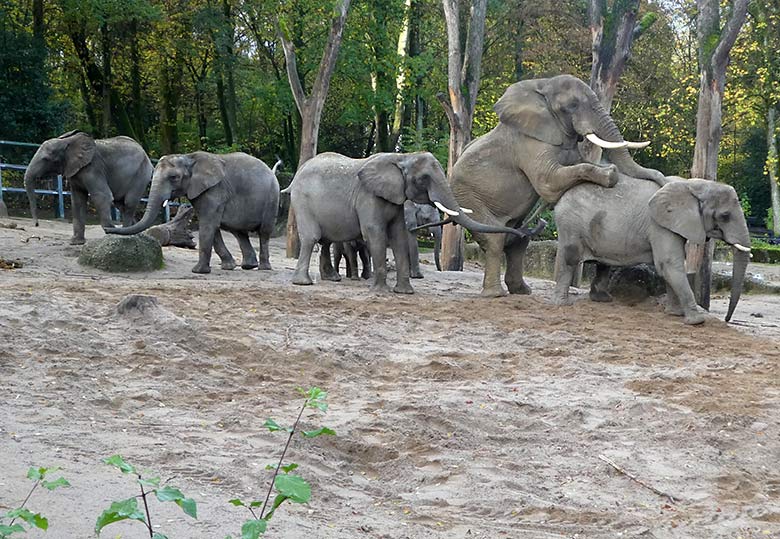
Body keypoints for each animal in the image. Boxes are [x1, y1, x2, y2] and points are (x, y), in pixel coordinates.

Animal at [23, 131, 152, 245]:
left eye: (46, 159)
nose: (36, 224)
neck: (67, 141)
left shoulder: (93, 168)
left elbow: (102, 196)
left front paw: (110, 233)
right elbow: (77, 200)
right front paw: (76, 243)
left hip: (141, 175)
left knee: (129, 202)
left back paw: (124, 235)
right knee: (121, 204)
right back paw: (133, 234)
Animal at [106, 152, 280, 274]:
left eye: (174, 177)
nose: (108, 229)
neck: (189, 157)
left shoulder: (215, 190)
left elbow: (208, 225)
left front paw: (198, 271)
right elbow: (211, 226)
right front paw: (227, 267)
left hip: (272, 199)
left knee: (264, 232)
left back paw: (263, 268)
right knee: (239, 232)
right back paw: (248, 266)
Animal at [286, 152, 536, 296]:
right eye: (424, 179)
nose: (521, 230)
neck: (401, 157)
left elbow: (397, 235)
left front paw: (405, 292)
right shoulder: (368, 195)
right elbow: (375, 233)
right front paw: (380, 292)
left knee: (325, 241)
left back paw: (331, 279)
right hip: (302, 201)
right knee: (311, 238)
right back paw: (303, 283)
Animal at [454, 74, 668, 298]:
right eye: (572, 105)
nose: (662, 179)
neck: (543, 84)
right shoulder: (528, 141)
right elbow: (548, 182)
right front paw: (610, 173)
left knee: (518, 241)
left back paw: (522, 291)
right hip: (468, 198)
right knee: (495, 240)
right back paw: (496, 294)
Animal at [552, 176, 752, 324]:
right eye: (725, 216)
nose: (727, 319)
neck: (692, 184)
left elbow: (670, 267)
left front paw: (675, 314)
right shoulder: (659, 225)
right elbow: (669, 264)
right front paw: (696, 321)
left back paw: (602, 299)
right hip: (570, 224)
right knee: (569, 258)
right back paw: (563, 303)